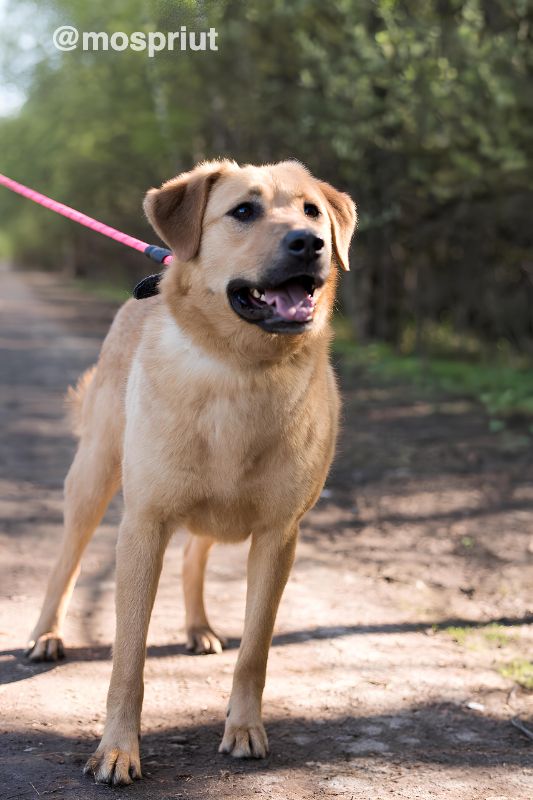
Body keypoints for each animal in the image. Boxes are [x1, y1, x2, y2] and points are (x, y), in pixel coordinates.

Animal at [26, 159, 358, 784]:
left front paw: (244, 728)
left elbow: (256, 649)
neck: (241, 368)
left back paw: (199, 627)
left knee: (193, 556)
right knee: (66, 561)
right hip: (94, 479)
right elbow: (127, 656)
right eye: (244, 210)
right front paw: (117, 749)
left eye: (311, 210)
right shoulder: (143, 526)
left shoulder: (278, 536)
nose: (311, 243)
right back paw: (46, 635)